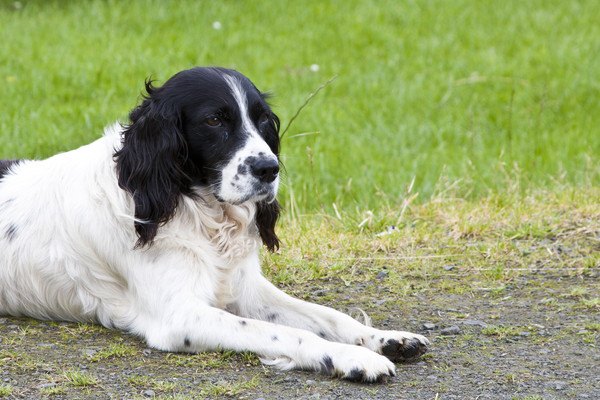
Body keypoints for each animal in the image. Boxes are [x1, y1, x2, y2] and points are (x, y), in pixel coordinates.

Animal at [0, 67, 426, 382]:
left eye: (263, 120)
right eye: (215, 120)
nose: (269, 168)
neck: (194, 208)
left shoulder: (246, 287)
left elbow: (326, 316)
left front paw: (385, 338)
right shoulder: (179, 316)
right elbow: (288, 333)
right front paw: (352, 358)